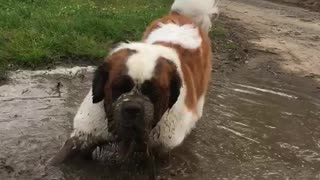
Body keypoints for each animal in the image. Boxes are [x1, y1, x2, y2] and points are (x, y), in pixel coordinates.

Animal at [50, 0, 220, 165]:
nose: (132, 108)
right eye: (119, 88)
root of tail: (183, 17)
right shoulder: (86, 133)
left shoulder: (162, 149)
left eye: (152, 92)